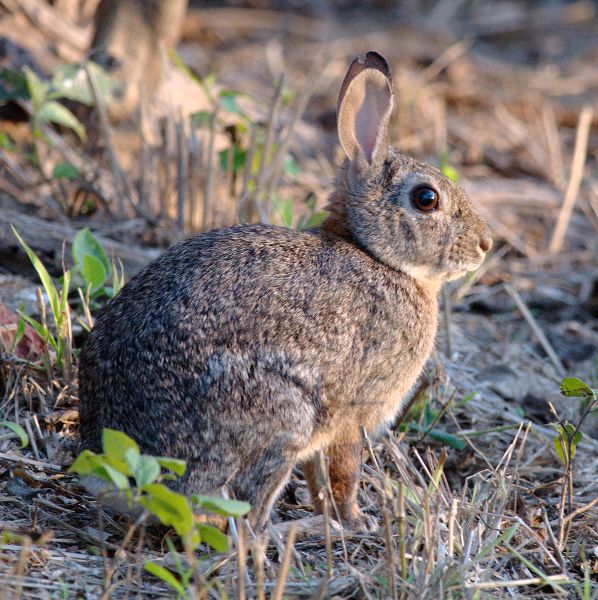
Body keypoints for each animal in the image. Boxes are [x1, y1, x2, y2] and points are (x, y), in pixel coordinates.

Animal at [78, 50, 492, 528]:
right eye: (427, 199)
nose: (485, 245)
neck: (376, 256)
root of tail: (121, 469)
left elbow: (319, 478)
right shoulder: (352, 413)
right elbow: (343, 473)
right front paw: (354, 520)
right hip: (281, 416)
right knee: (243, 508)